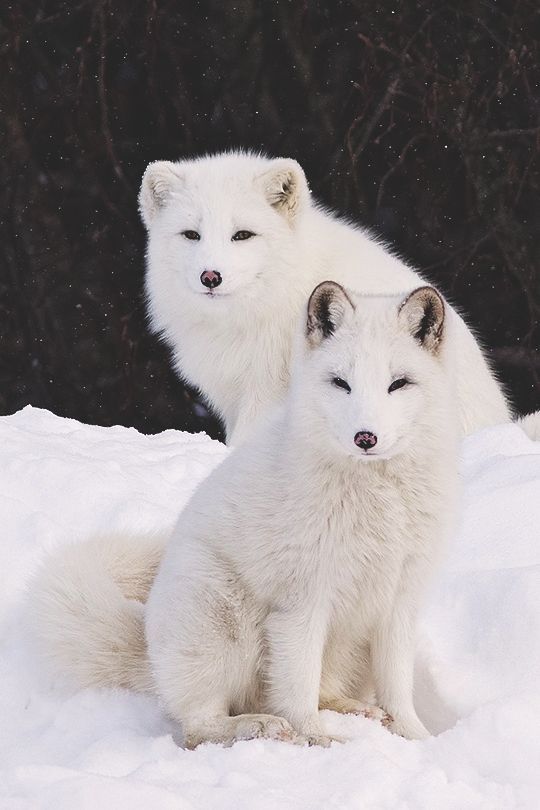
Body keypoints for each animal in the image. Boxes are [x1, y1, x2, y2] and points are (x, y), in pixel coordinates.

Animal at [30, 282, 456, 744]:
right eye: (341, 383)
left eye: (399, 384)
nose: (366, 437)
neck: (380, 500)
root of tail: (150, 653)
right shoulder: (301, 603)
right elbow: (298, 686)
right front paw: (315, 741)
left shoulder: (399, 602)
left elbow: (396, 688)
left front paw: (418, 739)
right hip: (223, 618)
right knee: (201, 726)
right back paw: (260, 725)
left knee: (316, 691)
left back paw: (354, 711)